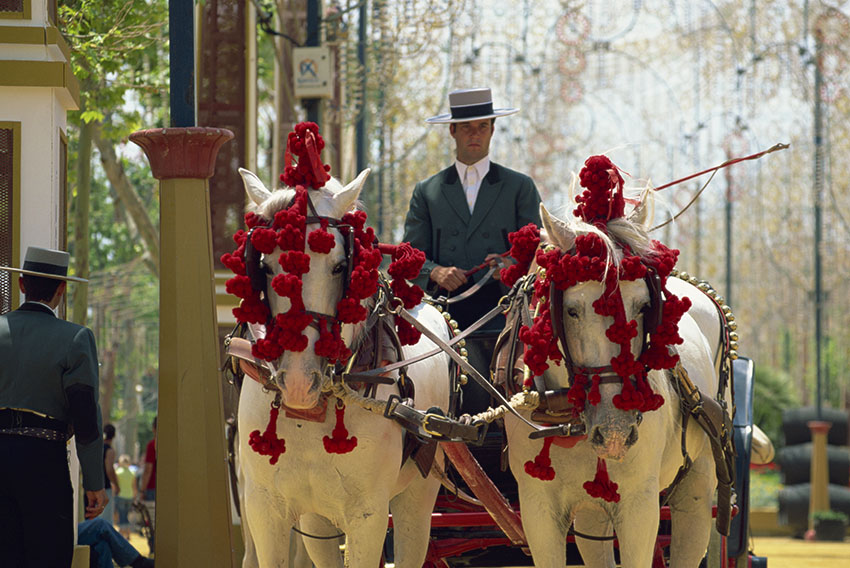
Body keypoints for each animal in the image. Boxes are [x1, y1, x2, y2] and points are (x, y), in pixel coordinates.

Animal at [232, 169, 450, 568]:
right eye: (265, 266)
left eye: (338, 266)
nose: (299, 382)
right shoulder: (264, 508)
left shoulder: (368, 515)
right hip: (316, 517)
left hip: (419, 495)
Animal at [504, 202, 728, 564]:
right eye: (571, 310)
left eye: (645, 305)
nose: (615, 432)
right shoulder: (537, 509)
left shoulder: (640, 505)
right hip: (592, 510)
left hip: (700, 480)